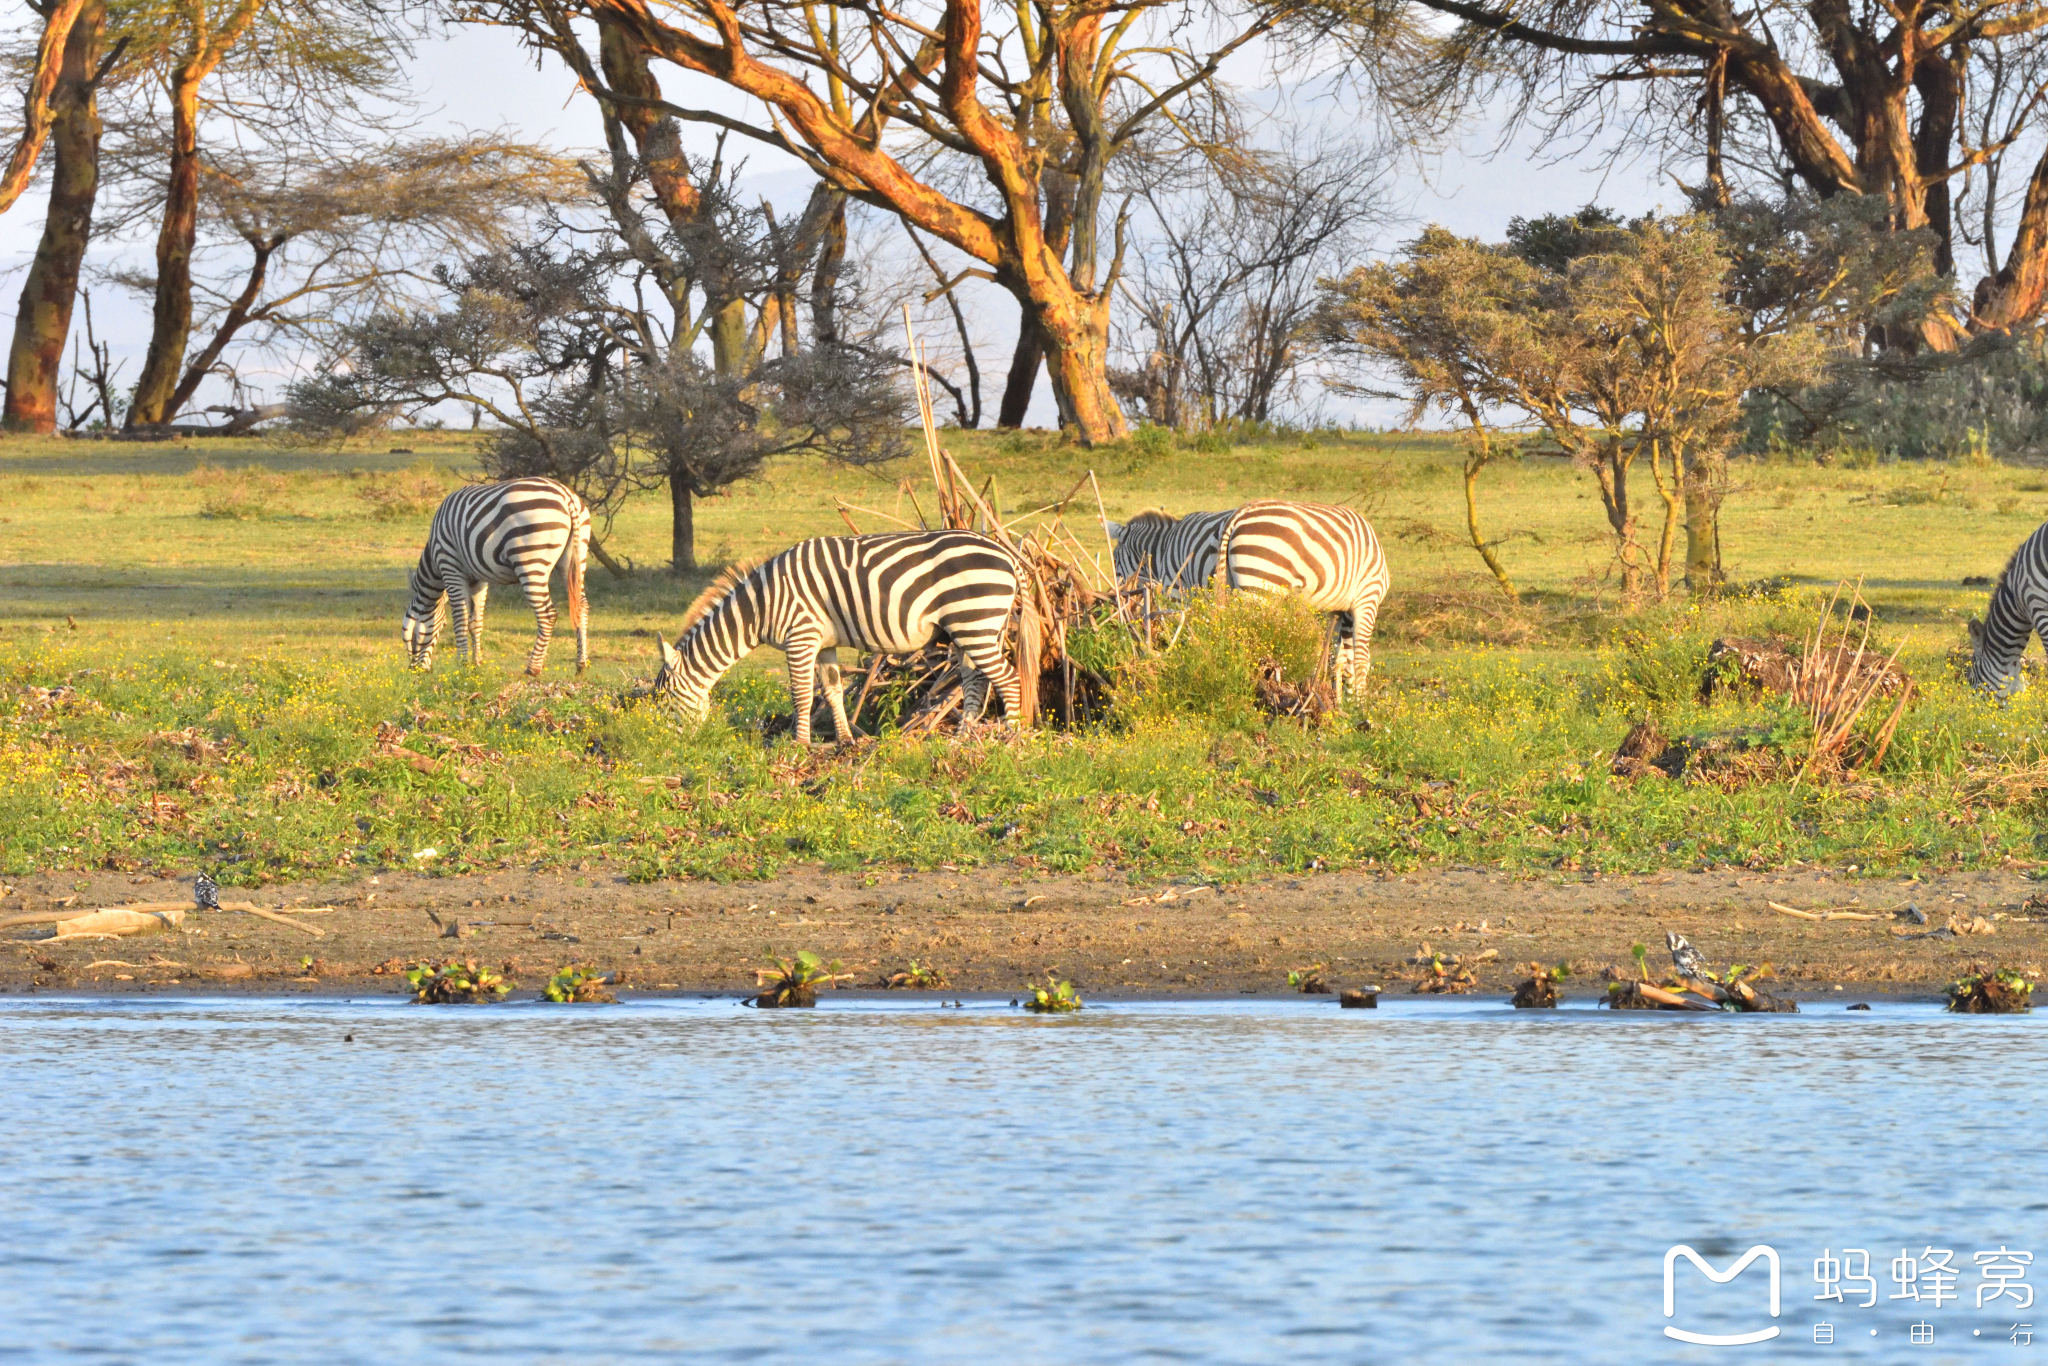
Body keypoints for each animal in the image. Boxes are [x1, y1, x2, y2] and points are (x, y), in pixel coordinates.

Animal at [399, 479, 589, 675]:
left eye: (443, 625)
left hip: (530, 561)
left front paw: (462, 664)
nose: (415, 671)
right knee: (581, 605)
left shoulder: (450, 567)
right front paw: (476, 663)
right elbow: (475, 622)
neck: (434, 563)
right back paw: (580, 664)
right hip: (575, 559)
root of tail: (567, 496)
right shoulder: (479, 580)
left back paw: (532, 669)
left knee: (547, 614)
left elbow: (460, 618)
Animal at [651, 532, 1024, 749]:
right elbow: (831, 690)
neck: (760, 607)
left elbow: (801, 695)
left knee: (1009, 679)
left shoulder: (800, 636)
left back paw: (1013, 737)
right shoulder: (824, 642)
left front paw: (799, 746)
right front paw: (845, 741)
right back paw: (962, 740)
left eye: (664, 701)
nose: (665, 747)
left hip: (974, 620)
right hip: (973, 628)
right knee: (976, 681)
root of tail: (1007, 554)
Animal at [1212, 499, 1392, 704]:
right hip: (1261, 587)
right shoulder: (1367, 598)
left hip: (1232, 586)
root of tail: (1238, 515)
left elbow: (1338, 659)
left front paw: (1340, 704)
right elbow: (1361, 658)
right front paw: (1360, 705)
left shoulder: (1338, 611)